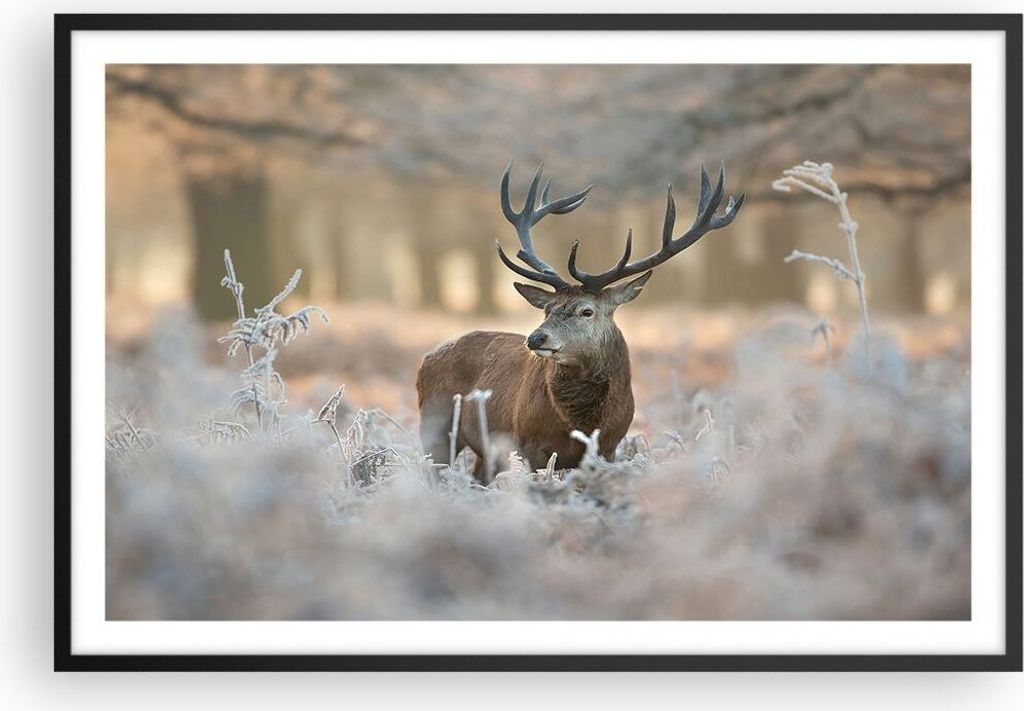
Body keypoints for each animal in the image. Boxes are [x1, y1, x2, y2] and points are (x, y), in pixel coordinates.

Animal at [416, 162, 745, 482]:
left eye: (586, 311)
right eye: (547, 309)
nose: (536, 338)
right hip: (434, 424)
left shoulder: (609, 447)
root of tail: (426, 357)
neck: (582, 423)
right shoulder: (528, 444)